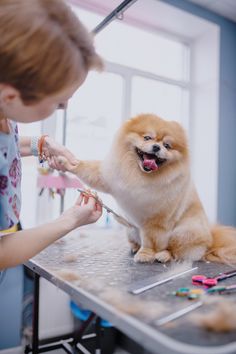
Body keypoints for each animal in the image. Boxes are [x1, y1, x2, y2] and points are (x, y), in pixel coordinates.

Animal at [62, 115, 236, 264]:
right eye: (147, 138)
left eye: (167, 145)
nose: (157, 147)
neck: (140, 176)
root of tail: (210, 240)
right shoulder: (110, 177)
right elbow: (92, 172)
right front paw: (69, 163)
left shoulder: (155, 222)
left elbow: (151, 241)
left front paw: (146, 255)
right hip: (130, 230)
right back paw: (134, 247)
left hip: (184, 232)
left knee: (176, 251)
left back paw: (163, 255)